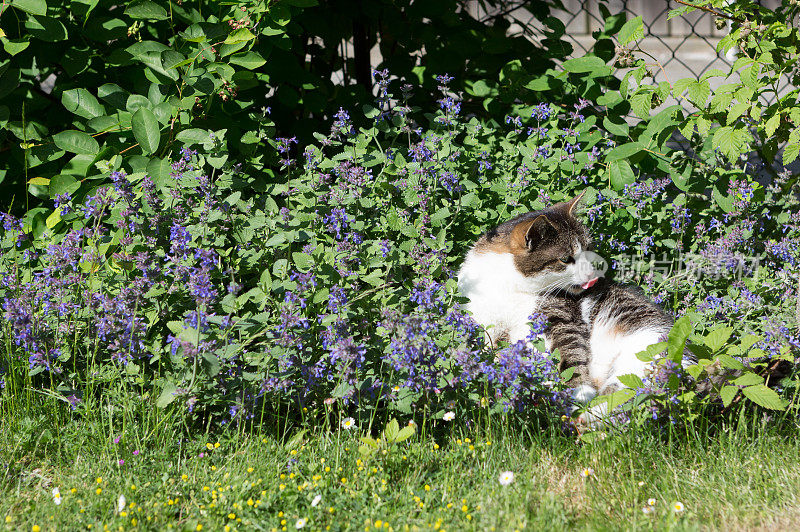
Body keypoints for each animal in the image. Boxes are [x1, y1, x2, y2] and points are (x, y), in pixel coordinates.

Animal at [456, 193, 676, 422]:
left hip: (643, 351)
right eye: (565, 259)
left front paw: (580, 392)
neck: (510, 286)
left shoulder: (559, 317)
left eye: (588, 249)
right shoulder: (478, 314)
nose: (592, 274)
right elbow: (472, 345)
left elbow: (569, 353)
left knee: (625, 398)